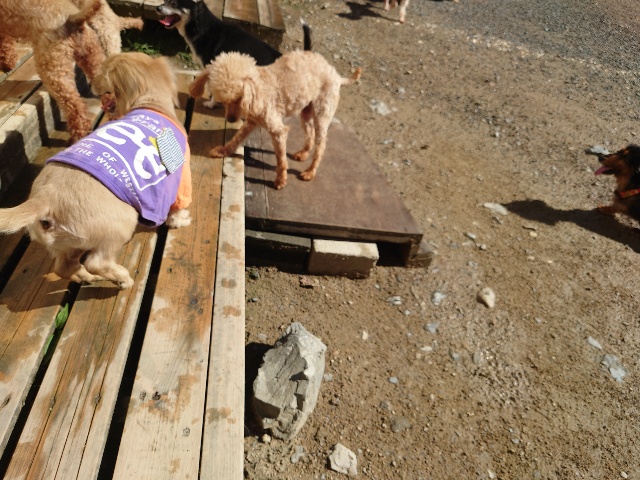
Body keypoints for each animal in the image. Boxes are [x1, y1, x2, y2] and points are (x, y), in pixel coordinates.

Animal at [0, 0, 106, 141]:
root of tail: (73, 18)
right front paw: (9, 62)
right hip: (93, 57)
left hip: (54, 70)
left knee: (76, 107)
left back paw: (78, 136)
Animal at [0, 53, 192, 289]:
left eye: (103, 73)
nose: (91, 85)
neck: (151, 104)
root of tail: (43, 198)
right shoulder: (182, 180)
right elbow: (178, 206)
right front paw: (181, 220)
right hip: (122, 221)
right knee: (96, 262)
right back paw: (122, 279)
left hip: (68, 243)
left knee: (64, 267)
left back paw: (86, 277)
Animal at [189, 50, 361, 189]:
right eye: (223, 101)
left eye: (238, 99)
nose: (231, 119)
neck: (258, 91)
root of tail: (337, 76)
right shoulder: (251, 122)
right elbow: (236, 139)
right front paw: (223, 151)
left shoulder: (278, 131)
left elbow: (281, 159)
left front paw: (280, 181)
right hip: (306, 112)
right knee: (310, 134)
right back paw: (303, 154)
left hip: (322, 114)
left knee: (321, 145)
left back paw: (310, 172)